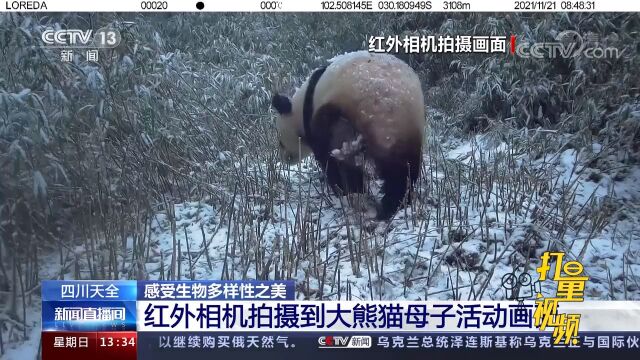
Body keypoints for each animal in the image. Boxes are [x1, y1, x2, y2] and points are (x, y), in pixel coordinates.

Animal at [270, 50, 424, 219]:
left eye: (281, 142)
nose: (285, 159)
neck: (301, 104)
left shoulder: (316, 117)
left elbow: (326, 157)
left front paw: (341, 189)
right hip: (409, 124)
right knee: (406, 168)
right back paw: (399, 202)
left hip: (368, 115)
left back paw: (383, 204)